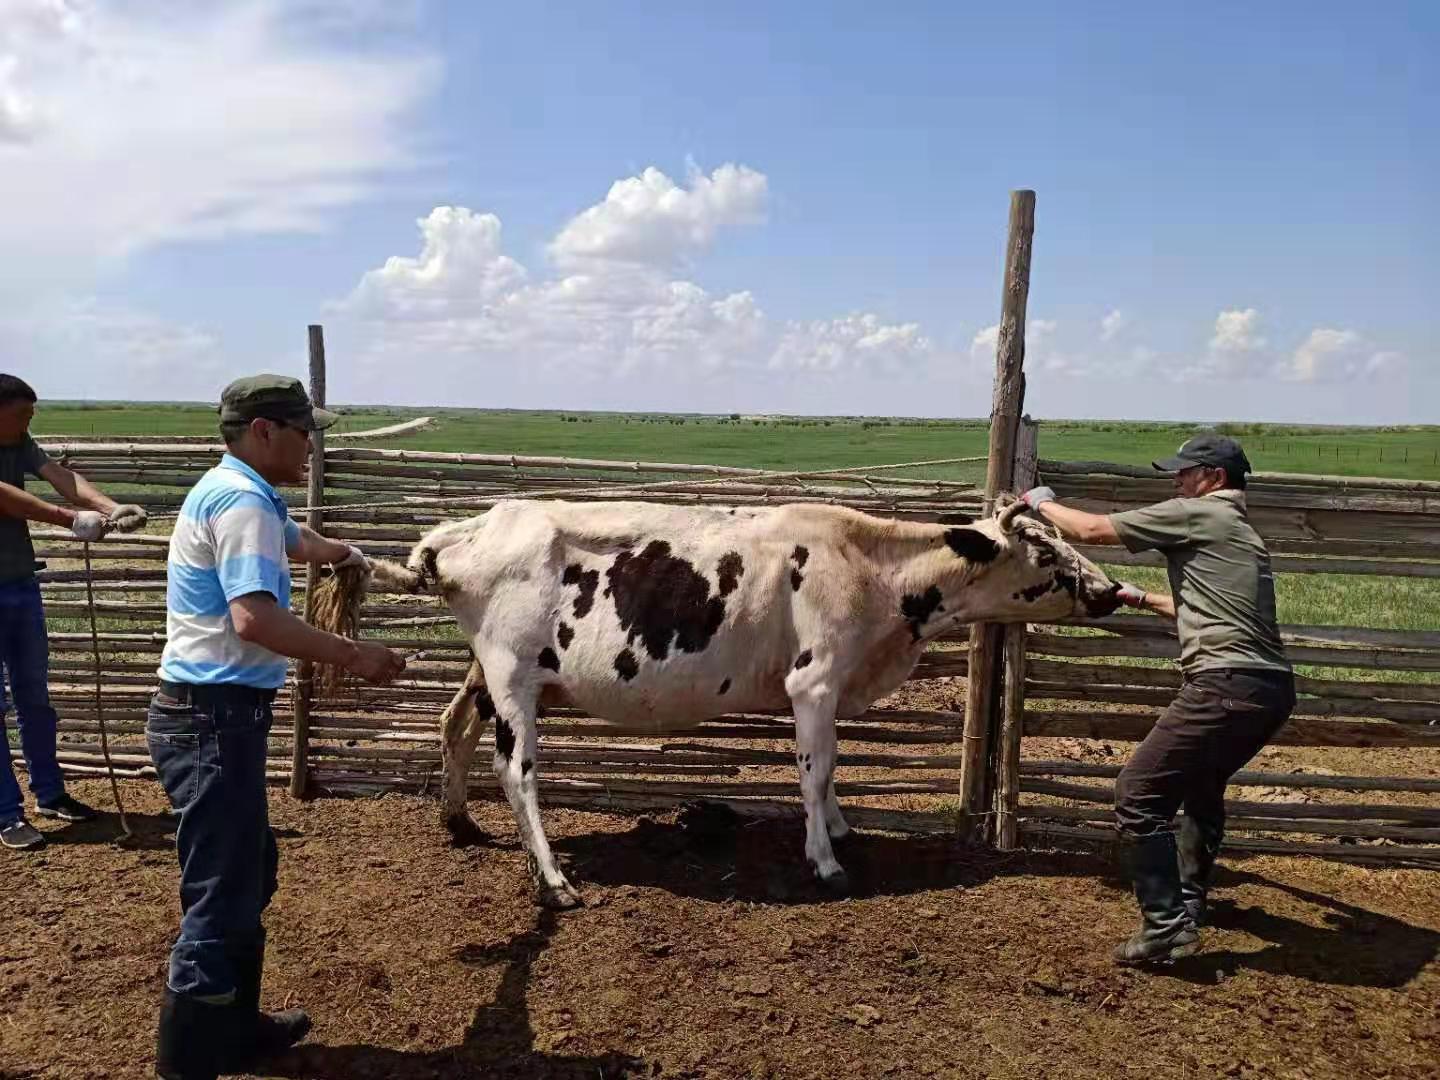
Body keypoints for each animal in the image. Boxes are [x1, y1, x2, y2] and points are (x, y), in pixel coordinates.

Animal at [354, 504, 1117, 910]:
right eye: (1045, 550)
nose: (1111, 590)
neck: (869, 567)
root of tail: (468, 529)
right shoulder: (814, 681)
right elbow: (815, 771)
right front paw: (826, 861)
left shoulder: (830, 687)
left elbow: (831, 771)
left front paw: (841, 831)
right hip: (512, 675)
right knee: (516, 772)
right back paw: (554, 881)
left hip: (486, 670)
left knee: (452, 725)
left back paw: (458, 822)